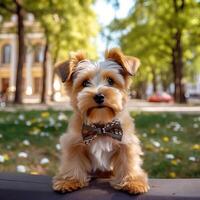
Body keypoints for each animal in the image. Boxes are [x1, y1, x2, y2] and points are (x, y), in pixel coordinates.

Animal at [52, 47, 149, 194]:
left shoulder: (126, 143)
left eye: (110, 81)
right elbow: (73, 162)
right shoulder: (73, 143)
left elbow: (128, 163)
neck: (101, 125)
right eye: (85, 83)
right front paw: (69, 181)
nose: (99, 96)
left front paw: (133, 182)